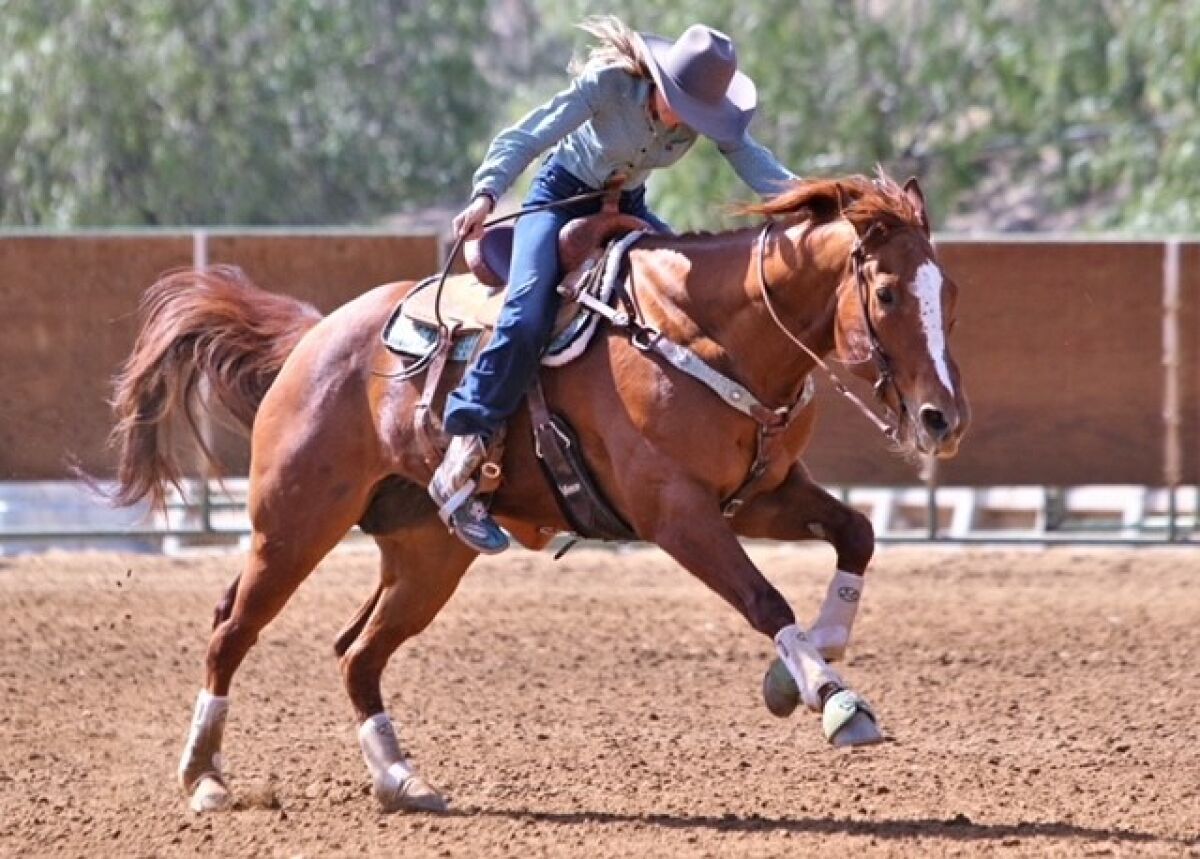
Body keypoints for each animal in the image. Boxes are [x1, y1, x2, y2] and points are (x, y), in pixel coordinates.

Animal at [109, 172, 969, 814]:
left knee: (357, 652)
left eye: (949, 293)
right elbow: (764, 599)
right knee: (231, 629)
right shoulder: (676, 511)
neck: (706, 330)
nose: (943, 417)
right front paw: (832, 697)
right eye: (887, 293)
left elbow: (856, 533)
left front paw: (805, 665)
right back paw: (204, 777)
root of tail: (313, 338)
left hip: (428, 552)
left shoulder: (763, 493)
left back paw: (400, 778)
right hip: (293, 522)